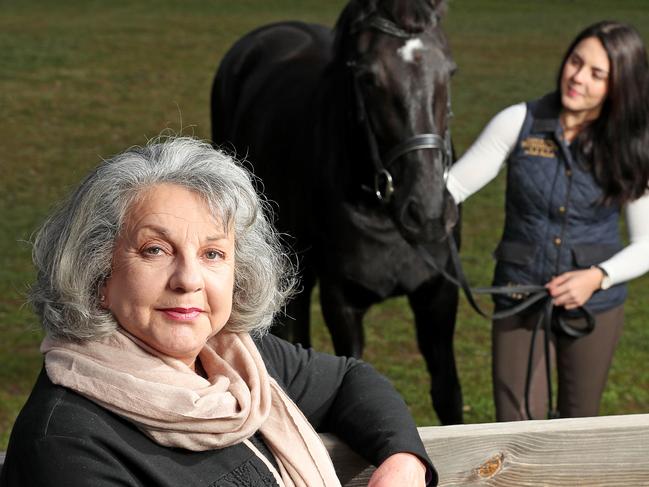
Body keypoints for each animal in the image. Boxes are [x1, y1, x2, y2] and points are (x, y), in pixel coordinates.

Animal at [213, 0, 460, 424]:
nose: (427, 213)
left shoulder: (439, 295)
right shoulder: (342, 301)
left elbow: (447, 395)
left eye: (449, 71)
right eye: (369, 78)